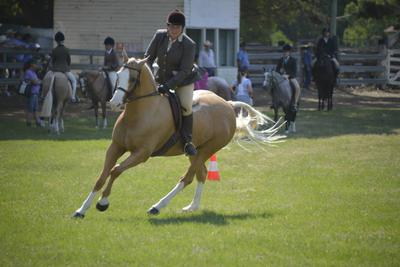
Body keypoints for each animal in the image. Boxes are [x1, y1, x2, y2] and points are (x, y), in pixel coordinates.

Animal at [72, 55, 282, 219]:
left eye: (132, 78)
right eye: (118, 75)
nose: (113, 103)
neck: (140, 113)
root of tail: (228, 105)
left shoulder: (141, 154)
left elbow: (115, 170)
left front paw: (103, 203)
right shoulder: (115, 147)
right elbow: (102, 176)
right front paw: (81, 210)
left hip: (208, 149)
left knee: (187, 177)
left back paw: (157, 207)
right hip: (195, 151)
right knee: (201, 173)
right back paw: (192, 207)